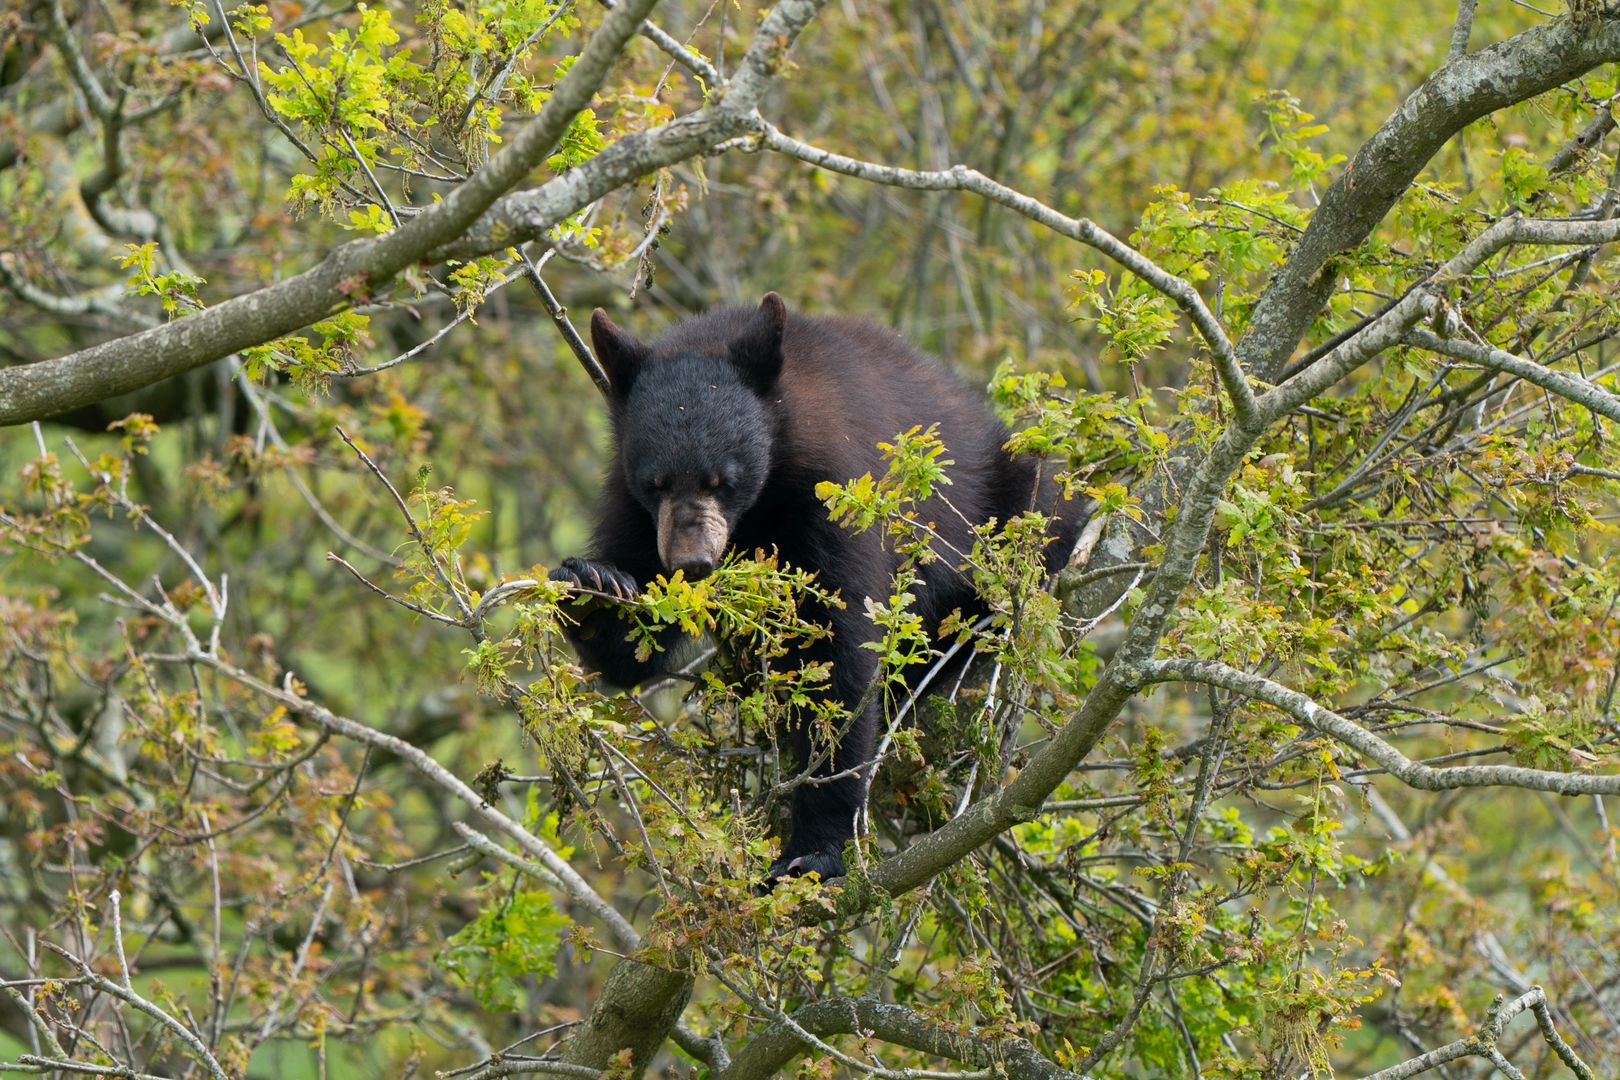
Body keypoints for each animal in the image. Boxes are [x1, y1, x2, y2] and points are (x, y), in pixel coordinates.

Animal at [550, 291, 1082, 880]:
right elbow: (631, 647)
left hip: (1006, 503)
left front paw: (815, 850)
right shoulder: (635, 512)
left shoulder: (831, 496)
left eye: (723, 480)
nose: (693, 562)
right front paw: (592, 586)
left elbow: (839, 653)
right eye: (656, 482)